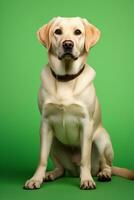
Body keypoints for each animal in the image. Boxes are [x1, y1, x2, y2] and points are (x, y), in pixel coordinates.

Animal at [24, 16, 134, 189]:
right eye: (58, 31)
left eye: (78, 32)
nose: (68, 44)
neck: (66, 79)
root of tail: (74, 171)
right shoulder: (45, 124)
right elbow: (41, 159)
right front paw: (36, 179)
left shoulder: (86, 124)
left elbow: (85, 159)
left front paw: (87, 180)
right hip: (53, 142)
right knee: (61, 168)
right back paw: (50, 174)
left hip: (101, 139)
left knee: (106, 164)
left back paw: (103, 174)